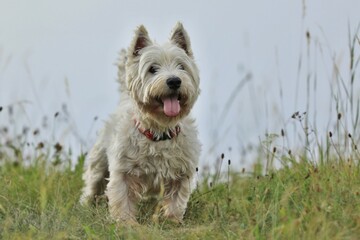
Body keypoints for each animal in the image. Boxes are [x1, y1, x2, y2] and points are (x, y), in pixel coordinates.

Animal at [80, 22, 201, 223]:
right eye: (152, 68)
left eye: (181, 66)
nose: (174, 81)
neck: (159, 131)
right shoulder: (123, 171)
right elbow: (122, 199)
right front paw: (126, 224)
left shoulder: (181, 172)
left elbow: (176, 200)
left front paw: (172, 222)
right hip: (99, 161)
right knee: (92, 184)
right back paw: (84, 205)